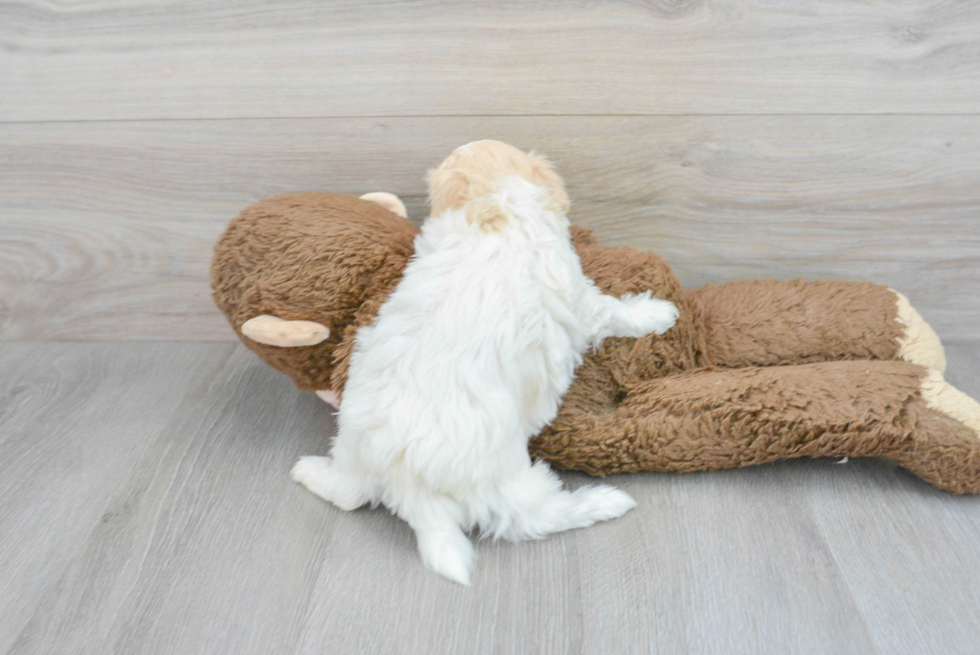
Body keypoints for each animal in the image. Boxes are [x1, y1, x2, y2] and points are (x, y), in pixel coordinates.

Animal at [288, 140, 676, 584]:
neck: (495, 204)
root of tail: (409, 481)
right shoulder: (578, 297)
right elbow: (612, 311)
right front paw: (656, 314)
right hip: (510, 485)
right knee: (535, 518)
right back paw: (602, 503)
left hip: (354, 446)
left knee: (349, 494)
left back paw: (308, 471)